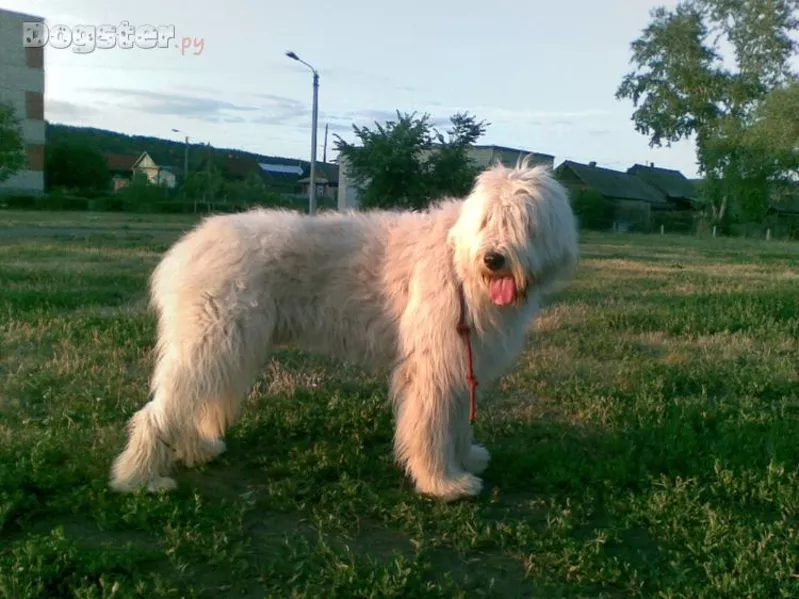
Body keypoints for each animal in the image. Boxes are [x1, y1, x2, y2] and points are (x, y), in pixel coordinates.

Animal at [109, 159, 580, 502]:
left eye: (523, 223)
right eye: (487, 221)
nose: (493, 259)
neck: (460, 265)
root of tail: (187, 247)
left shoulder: (461, 363)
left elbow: (456, 423)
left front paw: (465, 460)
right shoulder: (432, 366)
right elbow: (432, 425)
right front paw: (443, 483)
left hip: (228, 348)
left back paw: (195, 449)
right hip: (213, 341)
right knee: (159, 411)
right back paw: (139, 479)